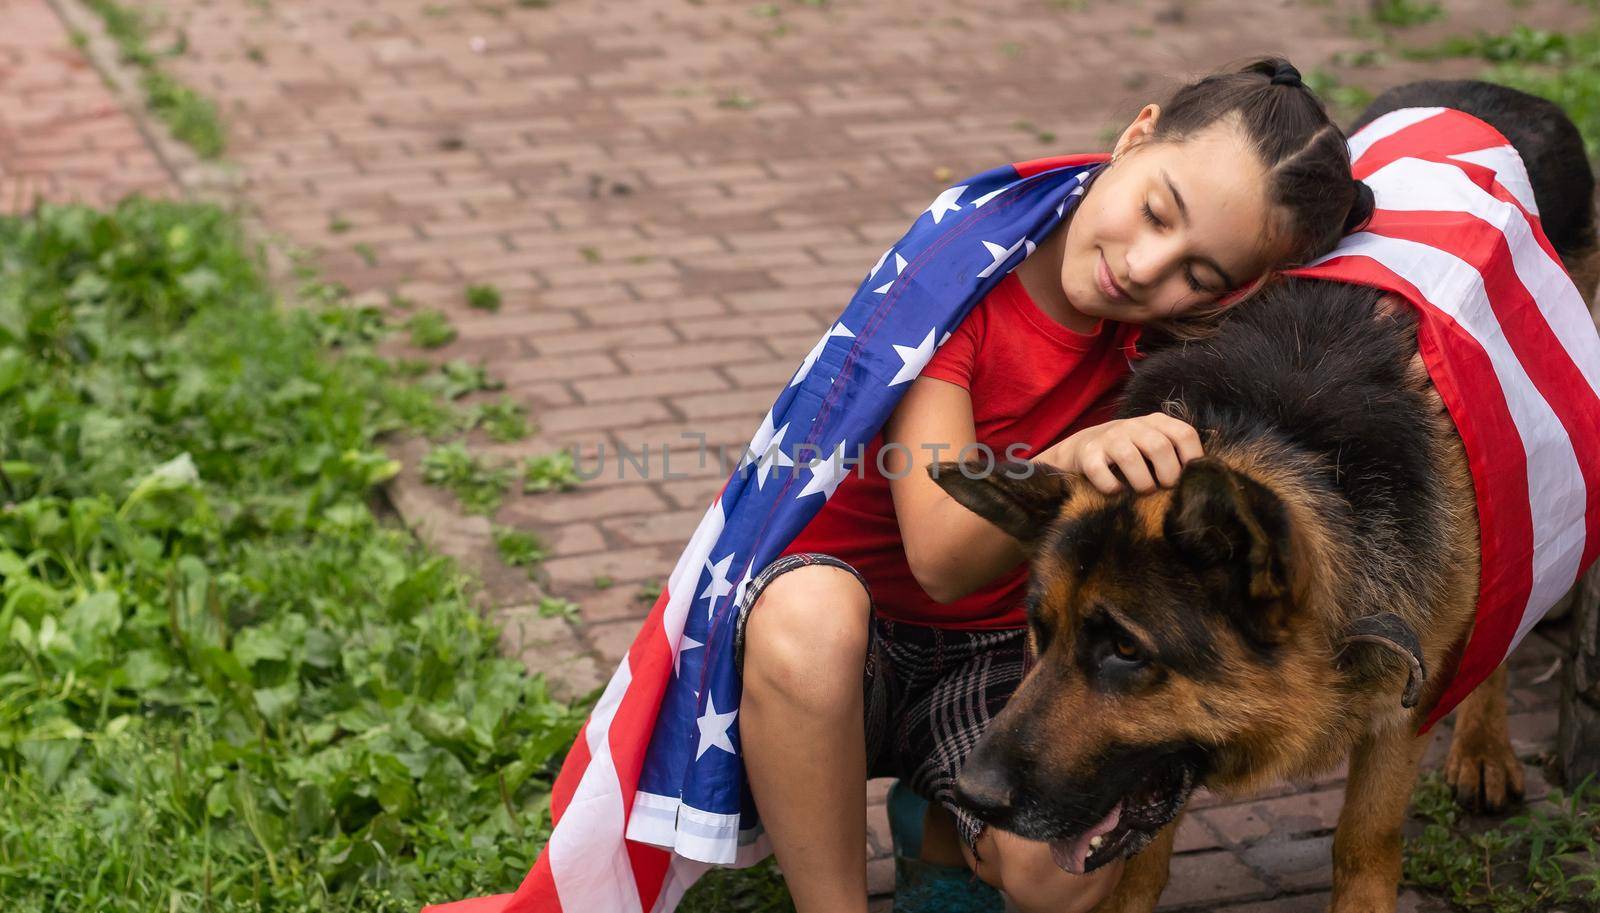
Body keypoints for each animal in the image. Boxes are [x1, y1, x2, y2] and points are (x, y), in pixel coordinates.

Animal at [934, 80, 1593, 913]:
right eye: (1037, 632)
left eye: (1126, 649)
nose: (972, 796)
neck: (1276, 439)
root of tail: (1486, 92)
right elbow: (1138, 864)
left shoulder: (1400, 705)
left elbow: (1364, 842)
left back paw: (1483, 744)